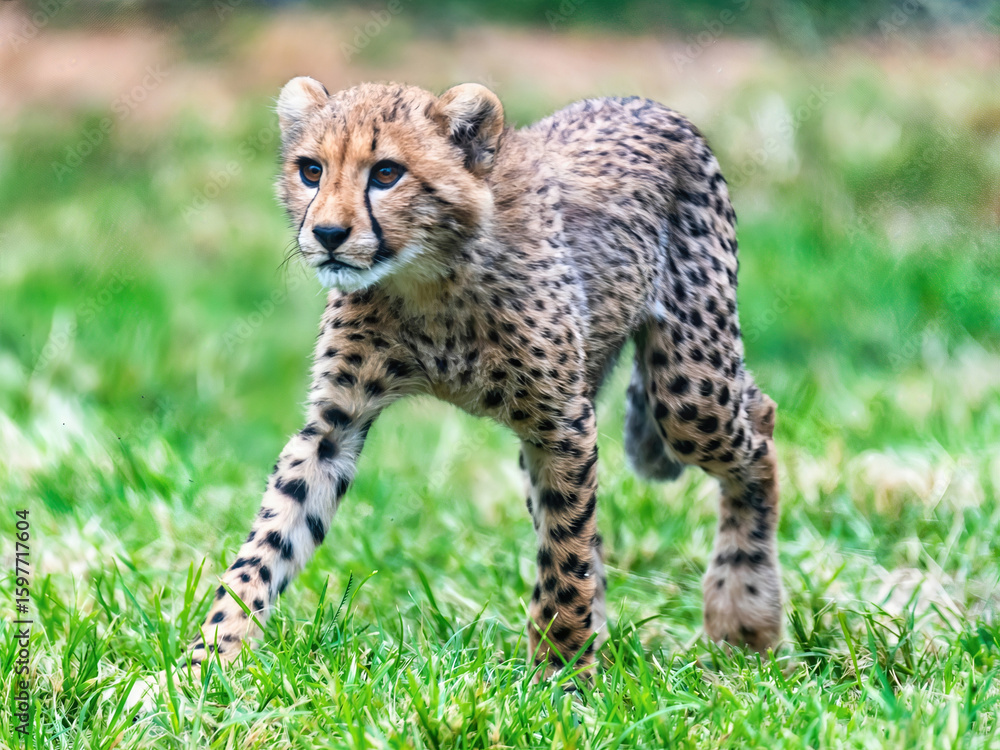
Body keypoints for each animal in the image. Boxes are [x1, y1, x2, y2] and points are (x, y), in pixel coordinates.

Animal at [182, 77, 783, 679]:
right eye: (311, 170)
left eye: (386, 173)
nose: (328, 233)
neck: (428, 277)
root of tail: (639, 100)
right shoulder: (335, 426)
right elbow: (268, 542)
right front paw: (210, 657)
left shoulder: (561, 421)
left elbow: (564, 557)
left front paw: (562, 674)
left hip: (688, 391)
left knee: (759, 421)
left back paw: (745, 615)